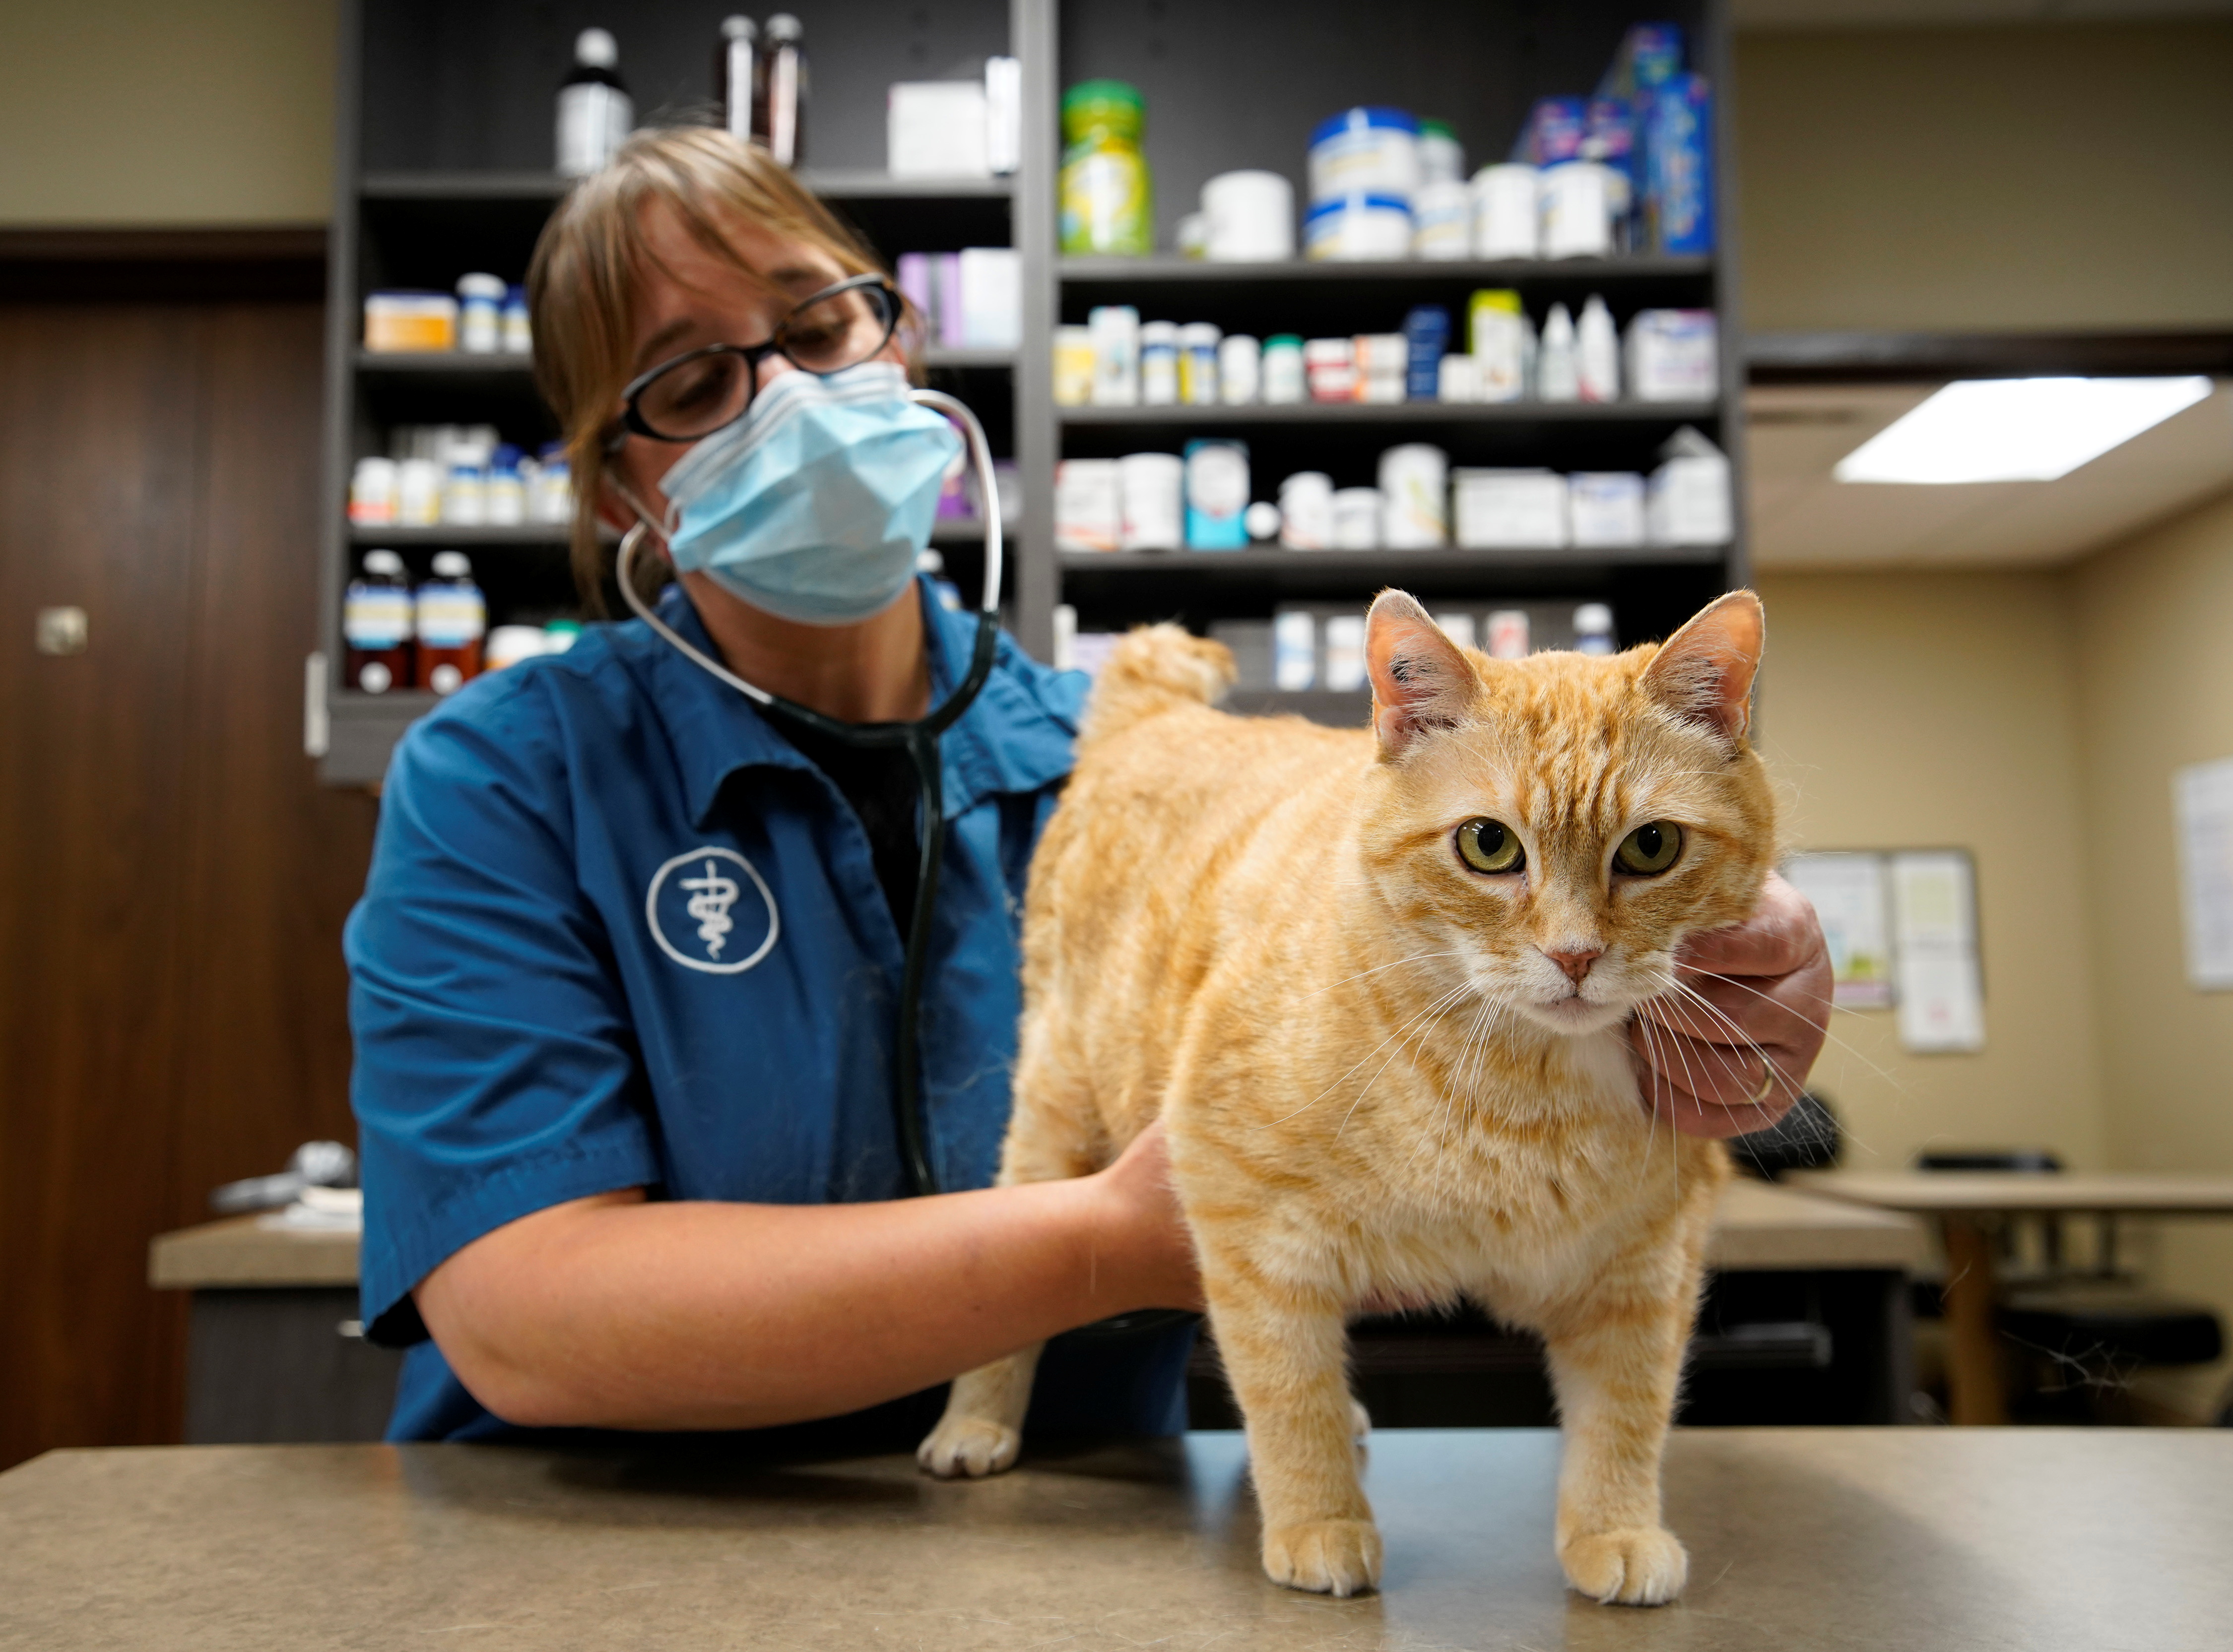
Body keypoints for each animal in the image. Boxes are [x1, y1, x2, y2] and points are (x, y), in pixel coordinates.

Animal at [916, 589, 1769, 1598]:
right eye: (1489, 845)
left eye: (1652, 846)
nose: (1574, 956)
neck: (1524, 1093)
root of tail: (1162, 716)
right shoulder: (1249, 1224)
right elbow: (1288, 1391)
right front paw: (1320, 1520)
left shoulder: (1646, 1264)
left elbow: (1627, 1415)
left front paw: (1616, 1528)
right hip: (1055, 1117)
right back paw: (977, 1425)